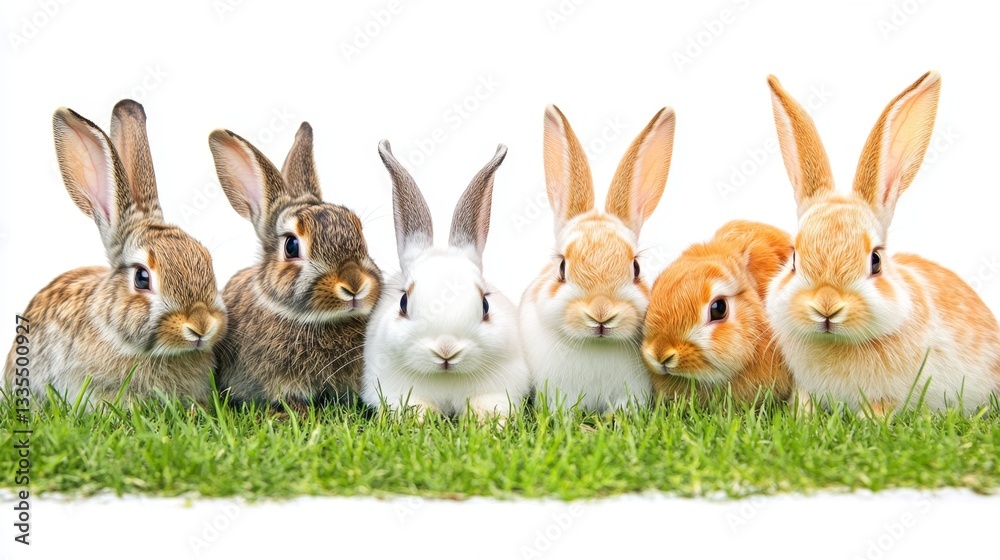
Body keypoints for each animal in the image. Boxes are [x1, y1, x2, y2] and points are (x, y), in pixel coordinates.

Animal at [361, 140, 530, 421]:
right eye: (403, 302)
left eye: (485, 305)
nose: (446, 349)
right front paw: (420, 421)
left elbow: (488, 404)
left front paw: (487, 423)